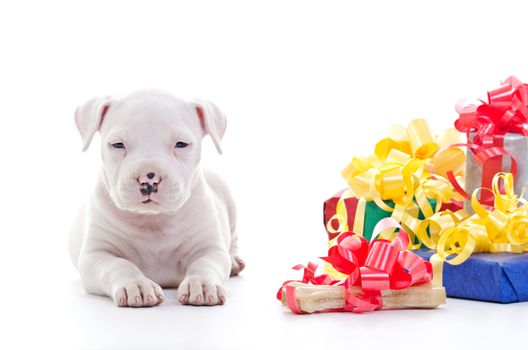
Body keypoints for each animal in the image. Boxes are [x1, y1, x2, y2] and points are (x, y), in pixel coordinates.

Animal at [69, 90, 244, 306]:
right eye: (118, 144)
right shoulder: (95, 255)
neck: (153, 219)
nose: (149, 178)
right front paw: (136, 284)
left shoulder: (210, 248)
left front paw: (201, 283)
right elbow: (118, 265)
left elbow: (205, 263)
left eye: (181, 144)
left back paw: (234, 261)